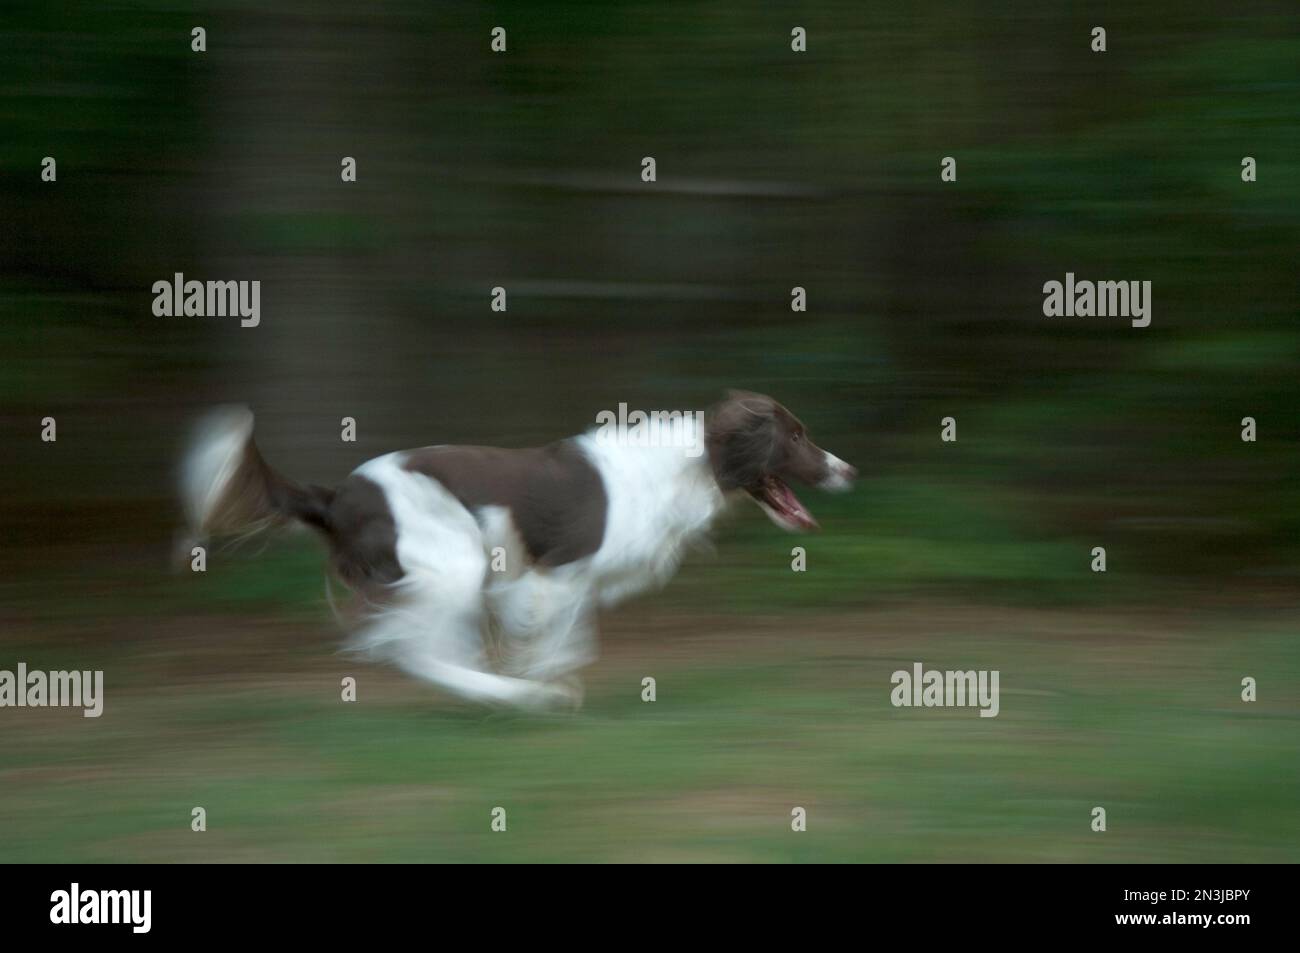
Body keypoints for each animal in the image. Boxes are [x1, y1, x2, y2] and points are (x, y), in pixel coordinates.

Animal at [180, 387, 852, 707]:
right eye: (796, 436)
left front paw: (548, 675)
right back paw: (518, 698)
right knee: (415, 652)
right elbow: (557, 639)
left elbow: (571, 641)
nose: (848, 470)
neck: (682, 468)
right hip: (454, 560)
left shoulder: (565, 583)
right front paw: (540, 683)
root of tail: (338, 494)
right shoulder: (553, 573)